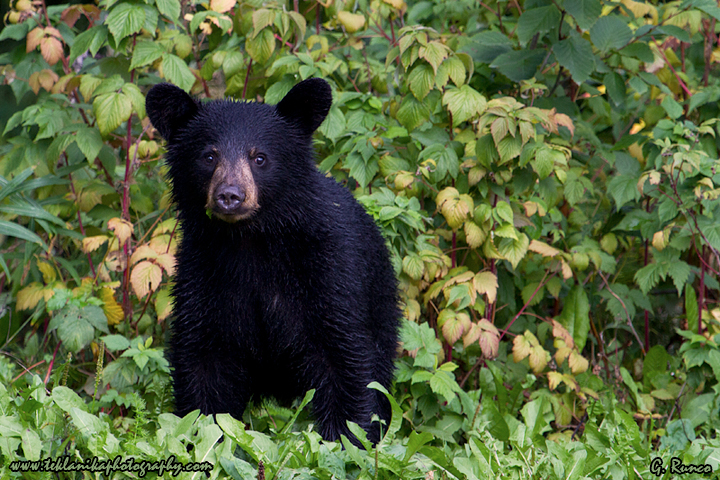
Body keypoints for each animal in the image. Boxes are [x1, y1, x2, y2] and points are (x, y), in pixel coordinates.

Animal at [145, 78, 400, 445]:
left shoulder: (328, 270)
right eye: (209, 156)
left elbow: (343, 357)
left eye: (260, 158)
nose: (230, 195)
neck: (251, 243)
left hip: (381, 306)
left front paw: (345, 440)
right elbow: (205, 364)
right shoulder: (203, 274)